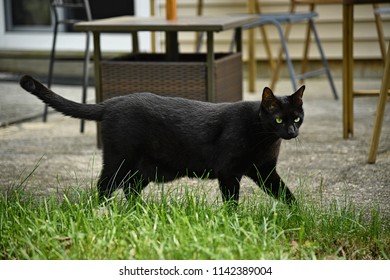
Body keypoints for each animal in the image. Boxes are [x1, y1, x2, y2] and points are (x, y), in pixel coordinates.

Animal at [19, 75, 304, 205]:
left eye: (297, 118)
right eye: (279, 119)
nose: (291, 132)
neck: (265, 139)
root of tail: (111, 102)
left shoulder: (265, 171)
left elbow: (285, 193)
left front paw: (298, 213)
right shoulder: (228, 172)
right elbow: (232, 201)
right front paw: (233, 222)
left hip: (142, 169)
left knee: (129, 189)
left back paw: (138, 213)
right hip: (119, 160)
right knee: (104, 187)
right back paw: (100, 214)